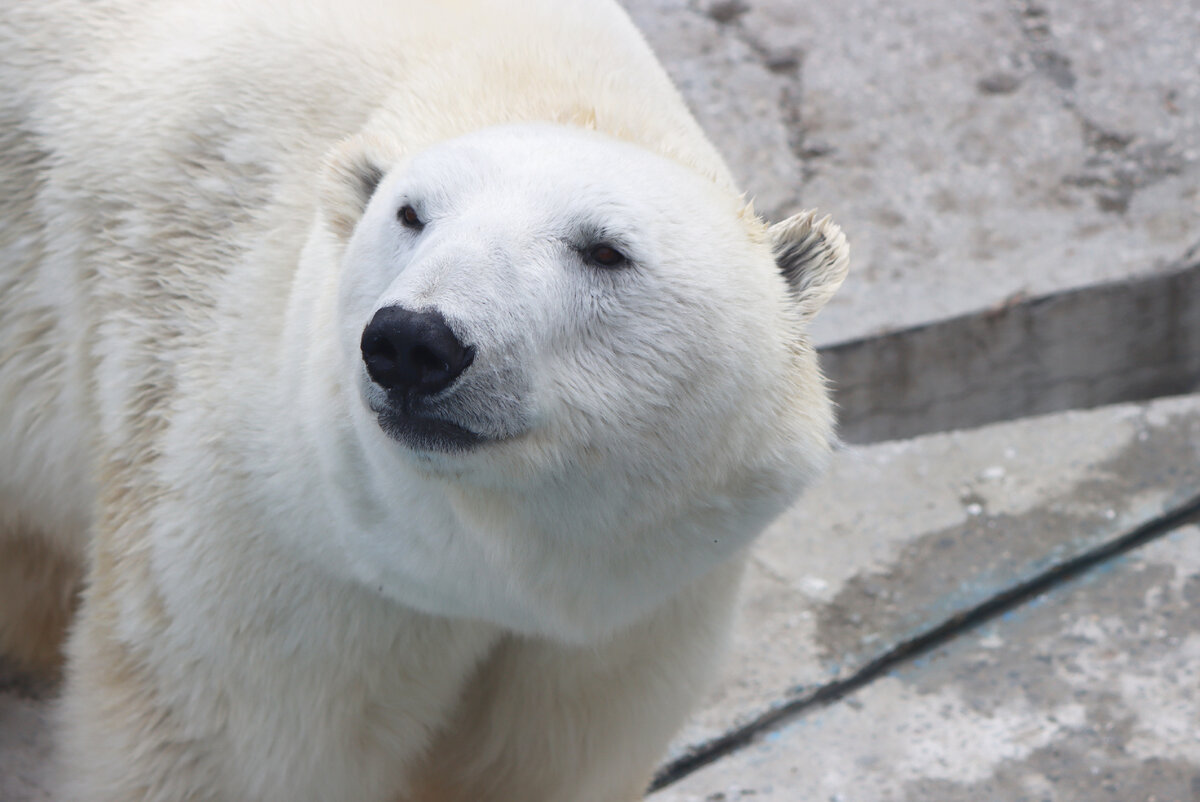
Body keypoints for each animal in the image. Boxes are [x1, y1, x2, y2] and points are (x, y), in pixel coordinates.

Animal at [0, 1, 844, 802]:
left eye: (606, 249)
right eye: (410, 213)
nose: (412, 342)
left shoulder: (644, 607)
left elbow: (552, 760)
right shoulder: (267, 528)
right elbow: (223, 742)